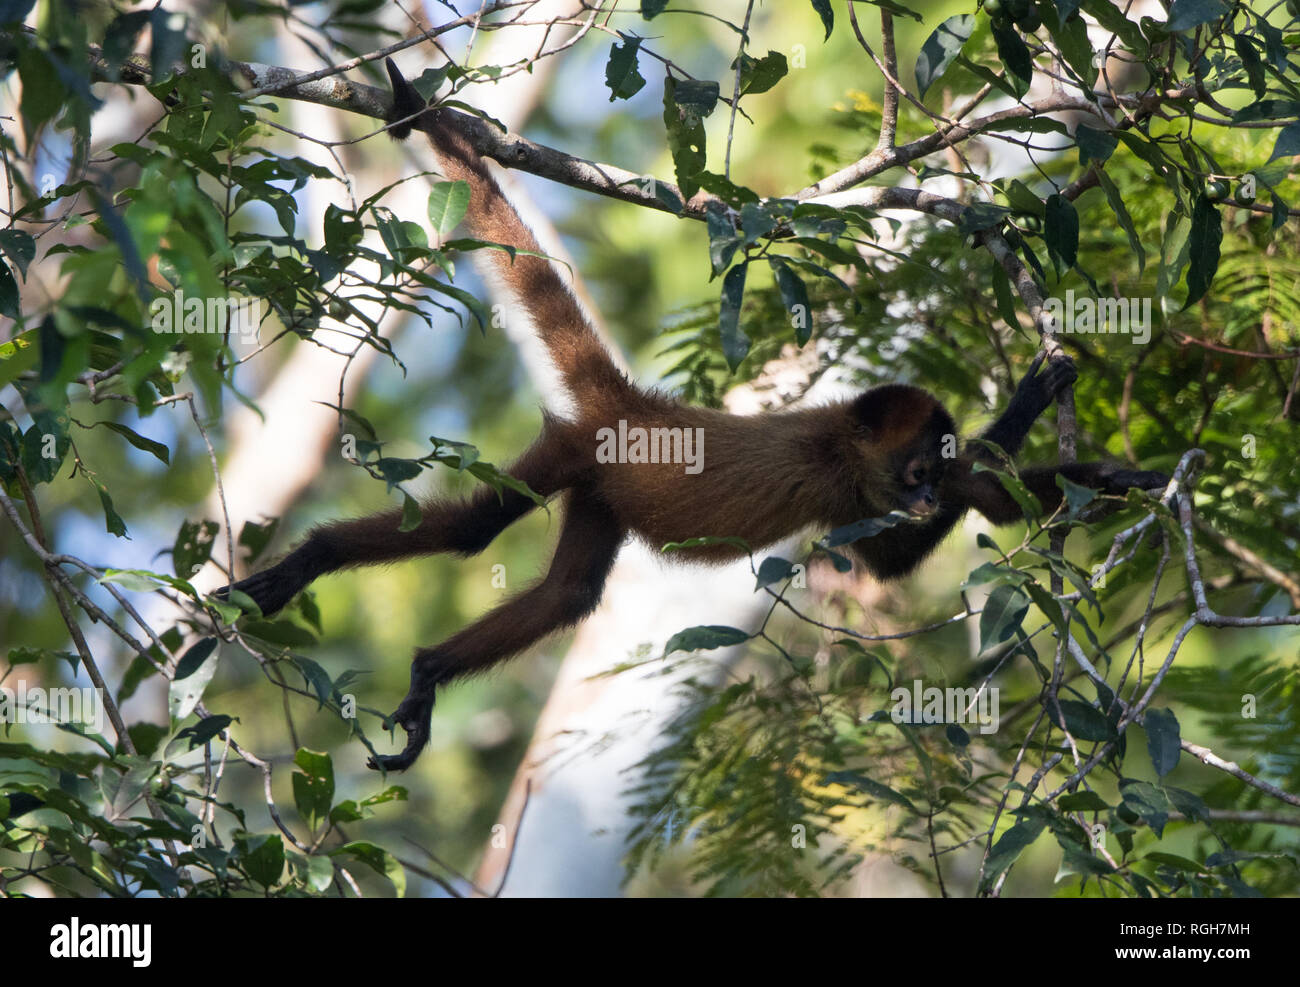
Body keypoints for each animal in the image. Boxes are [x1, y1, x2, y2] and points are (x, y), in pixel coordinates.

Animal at [218, 59, 1164, 769]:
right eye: (916, 471)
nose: (932, 495)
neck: (843, 438)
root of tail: (634, 402)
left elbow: (994, 501)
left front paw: (1122, 477)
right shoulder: (846, 484)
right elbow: (887, 560)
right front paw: (1033, 403)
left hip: (601, 488)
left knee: (566, 593)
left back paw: (426, 675)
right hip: (577, 450)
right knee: (476, 529)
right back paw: (315, 559)